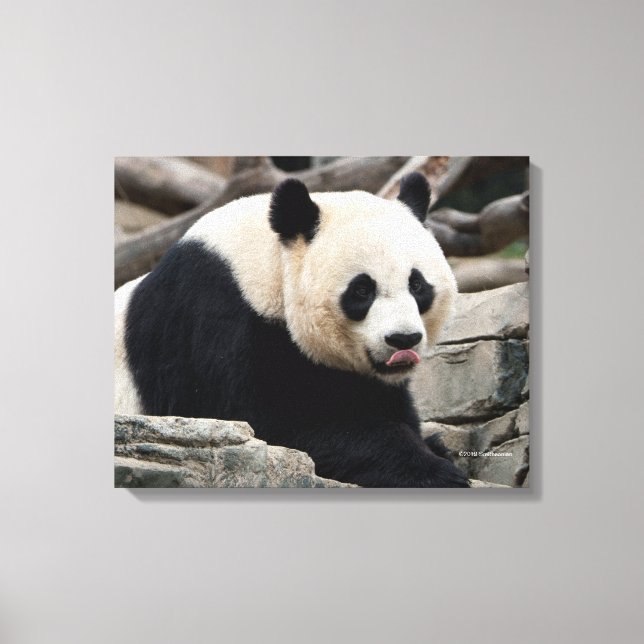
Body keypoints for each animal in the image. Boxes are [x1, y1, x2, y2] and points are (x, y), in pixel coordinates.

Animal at [114, 172, 469, 487]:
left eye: (417, 285)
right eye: (362, 290)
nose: (403, 339)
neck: (269, 262)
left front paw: (435, 448)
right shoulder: (215, 318)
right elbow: (265, 423)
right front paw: (436, 471)